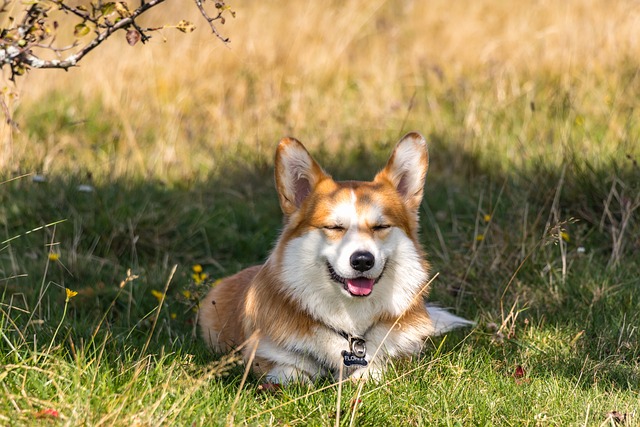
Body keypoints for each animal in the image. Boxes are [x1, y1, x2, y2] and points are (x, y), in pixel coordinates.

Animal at [200, 131, 476, 384]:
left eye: (380, 226)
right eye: (334, 227)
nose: (363, 260)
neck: (351, 324)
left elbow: (377, 367)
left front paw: (361, 377)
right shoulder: (266, 356)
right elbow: (291, 372)